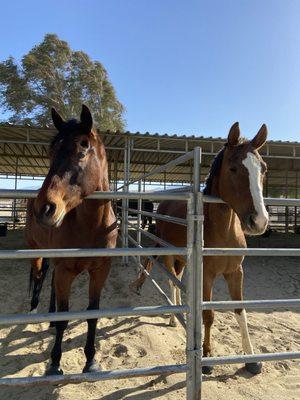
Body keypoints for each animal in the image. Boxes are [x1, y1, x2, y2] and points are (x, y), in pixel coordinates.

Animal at [25, 104, 117, 376]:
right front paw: (54, 363)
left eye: (83, 147)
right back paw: (34, 311)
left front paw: (91, 360)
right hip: (36, 252)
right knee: (39, 276)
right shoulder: (66, 269)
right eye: (52, 150)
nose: (44, 208)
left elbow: (92, 314)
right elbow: (65, 317)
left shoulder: (100, 271)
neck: (91, 227)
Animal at [132, 122, 268, 376]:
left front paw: (251, 359)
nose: (259, 221)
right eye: (233, 168)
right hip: (170, 255)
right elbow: (208, 314)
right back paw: (173, 316)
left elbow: (240, 312)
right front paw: (206, 357)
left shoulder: (236, 273)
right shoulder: (206, 275)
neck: (223, 232)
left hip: (184, 260)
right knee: (172, 280)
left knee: (178, 278)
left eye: (263, 169)